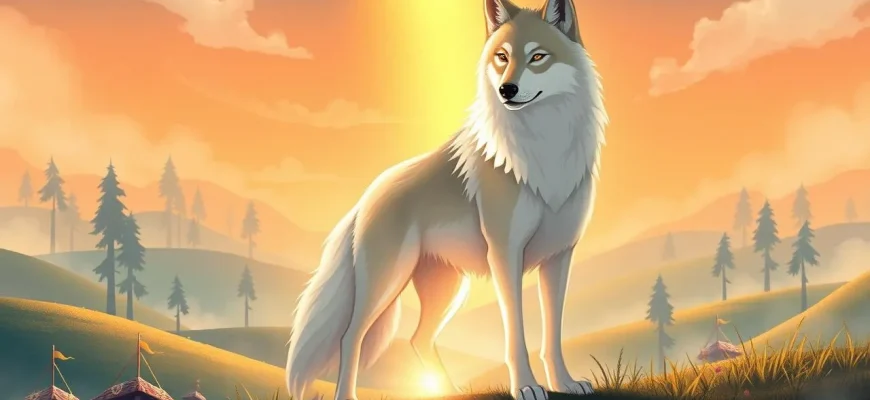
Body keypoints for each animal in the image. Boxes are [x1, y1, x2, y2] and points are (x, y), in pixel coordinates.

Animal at [285, 0, 608, 399]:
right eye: (502, 57)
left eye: (537, 57)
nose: (507, 89)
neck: (544, 151)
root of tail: (368, 195)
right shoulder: (506, 255)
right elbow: (515, 334)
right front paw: (526, 387)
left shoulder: (559, 257)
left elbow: (553, 334)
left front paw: (564, 382)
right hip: (386, 284)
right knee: (350, 338)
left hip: (449, 291)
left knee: (418, 339)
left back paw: (451, 391)